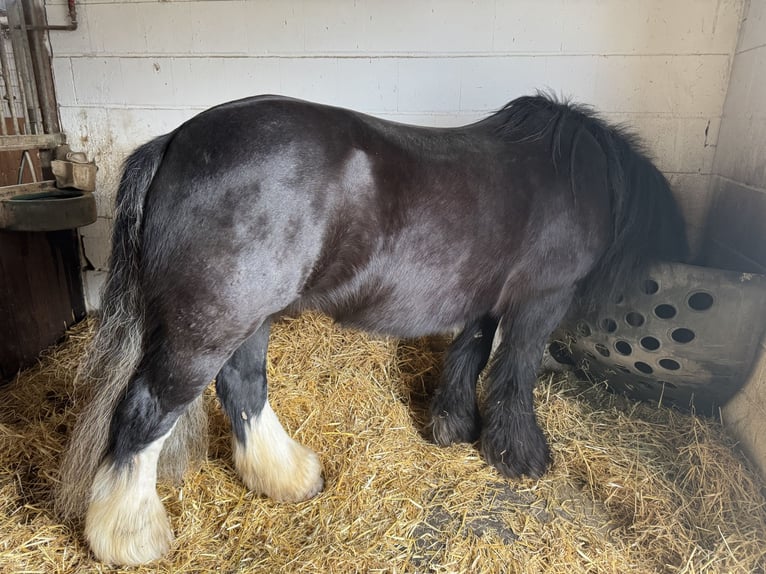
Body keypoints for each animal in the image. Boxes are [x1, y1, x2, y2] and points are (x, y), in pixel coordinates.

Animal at [55, 92, 688, 564]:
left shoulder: (486, 299)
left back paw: (288, 478)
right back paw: (130, 539)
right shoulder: (539, 301)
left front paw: (453, 426)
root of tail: (174, 142)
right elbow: (515, 371)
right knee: (143, 412)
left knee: (243, 390)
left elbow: (471, 353)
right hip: (207, 328)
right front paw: (519, 455)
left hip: (246, 321)